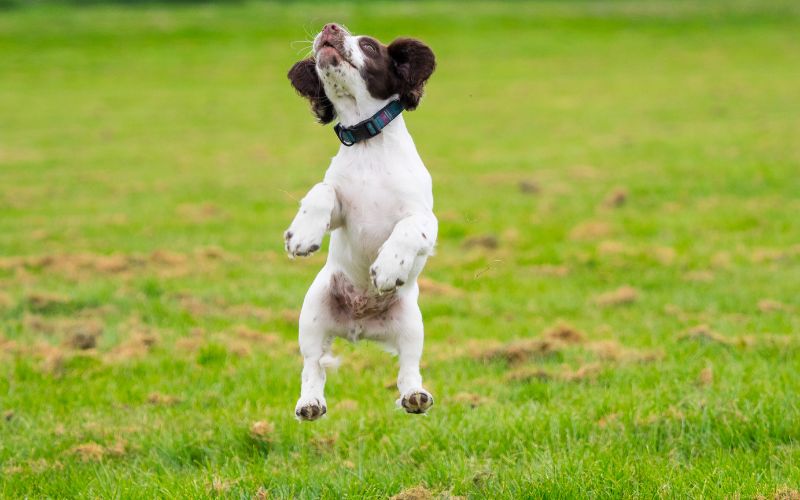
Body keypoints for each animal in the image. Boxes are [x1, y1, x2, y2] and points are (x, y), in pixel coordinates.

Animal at [284, 24, 438, 422]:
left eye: (368, 46)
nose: (330, 27)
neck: (369, 144)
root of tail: (360, 327)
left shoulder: (426, 221)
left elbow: (406, 229)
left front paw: (387, 267)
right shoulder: (340, 209)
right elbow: (322, 191)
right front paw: (301, 235)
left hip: (411, 323)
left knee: (408, 368)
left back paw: (415, 396)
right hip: (314, 311)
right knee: (313, 366)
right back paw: (310, 403)